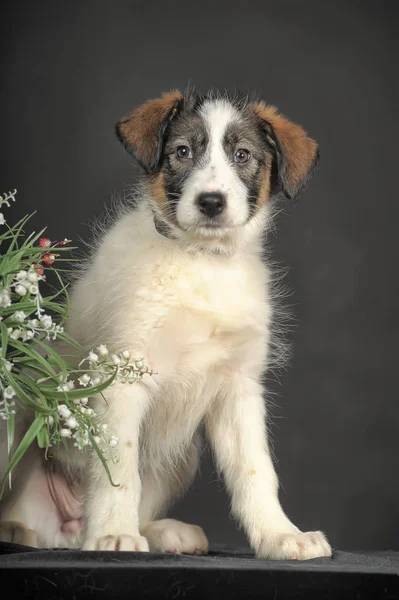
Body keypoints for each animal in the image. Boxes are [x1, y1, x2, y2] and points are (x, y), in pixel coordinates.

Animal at [0, 88, 332, 556]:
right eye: (182, 151)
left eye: (243, 155)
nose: (211, 202)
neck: (201, 261)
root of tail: (66, 530)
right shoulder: (123, 375)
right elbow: (118, 467)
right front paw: (113, 534)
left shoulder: (239, 387)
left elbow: (256, 471)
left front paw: (280, 535)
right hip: (15, 414)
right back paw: (23, 529)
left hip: (183, 455)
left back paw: (162, 532)